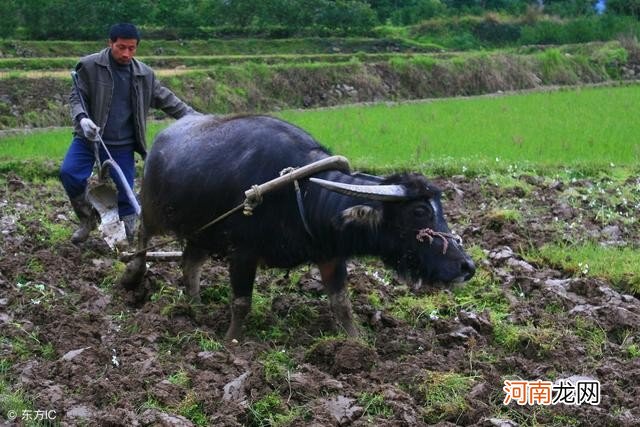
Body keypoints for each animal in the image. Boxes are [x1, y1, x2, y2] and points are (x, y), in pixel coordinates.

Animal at [121, 114, 476, 342]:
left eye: (439, 208)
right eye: (419, 212)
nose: (467, 266)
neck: (301, 194)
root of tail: (161, 141)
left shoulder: (331, 256)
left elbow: (342, 304)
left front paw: (357, 340)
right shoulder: (242, 254)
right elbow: (241, 303)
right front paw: (230, 342)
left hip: (202, 233)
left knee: (189, 262)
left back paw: (195, 307)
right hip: (153, 211)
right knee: (141, 236)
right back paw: (133, 274)